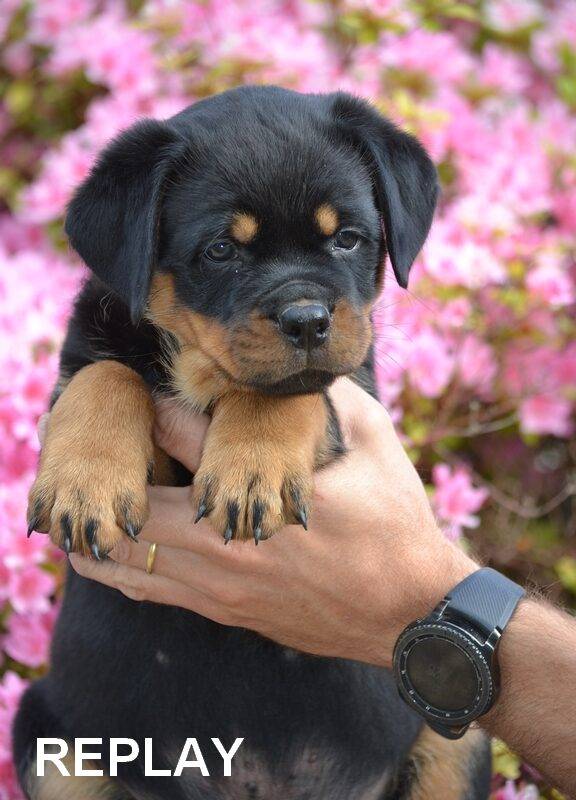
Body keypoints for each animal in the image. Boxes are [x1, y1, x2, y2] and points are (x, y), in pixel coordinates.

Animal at [13, 86, 491, 799]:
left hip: (452, 738)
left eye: (347, 239)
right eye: (220, 250)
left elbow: (278, 392)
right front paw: (83, 483)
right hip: (57, 747)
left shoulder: (348, 388)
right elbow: (106, 373)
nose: (308, 321)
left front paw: (251, 472)